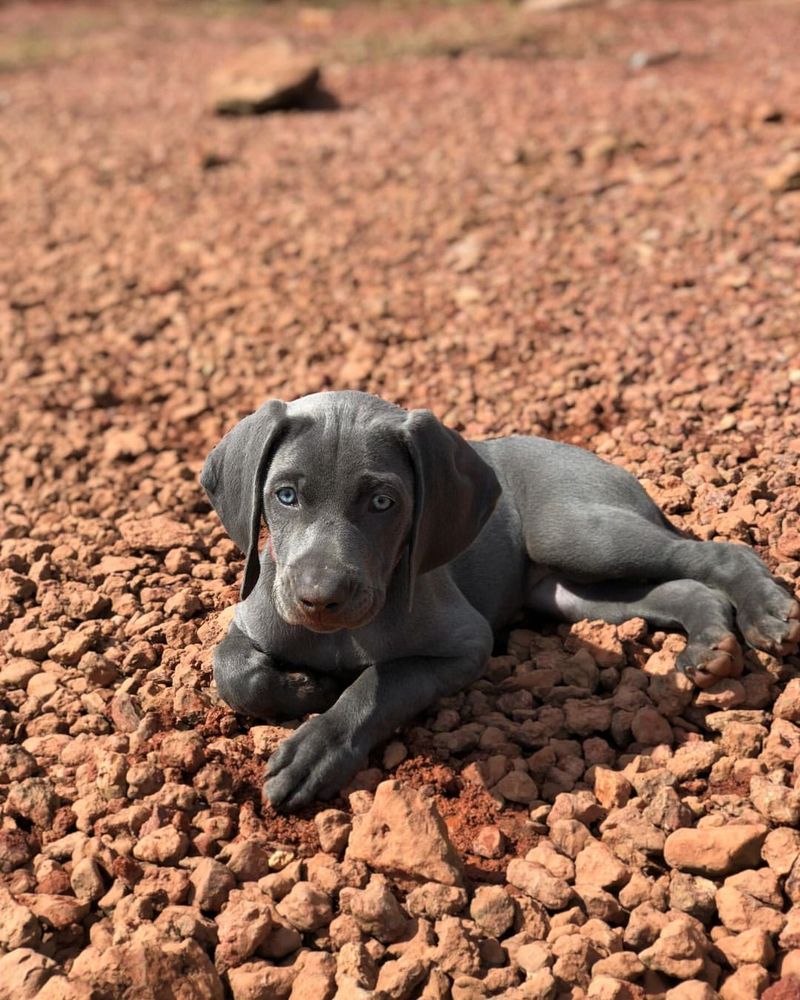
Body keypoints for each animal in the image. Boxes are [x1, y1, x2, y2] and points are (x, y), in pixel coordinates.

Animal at [200, 386, 800, 808]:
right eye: (285, 496)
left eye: (382, 502)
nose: (318, 598)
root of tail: (594, 457)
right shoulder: (254, 616)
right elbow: (233, 671)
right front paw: (305, 686)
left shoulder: (466, 645)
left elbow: (380, 681)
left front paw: (316, 747)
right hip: (570, 593)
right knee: (680, 587)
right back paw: (710, 641)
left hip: (579, 534)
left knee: (719, 554)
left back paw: (766, 613)